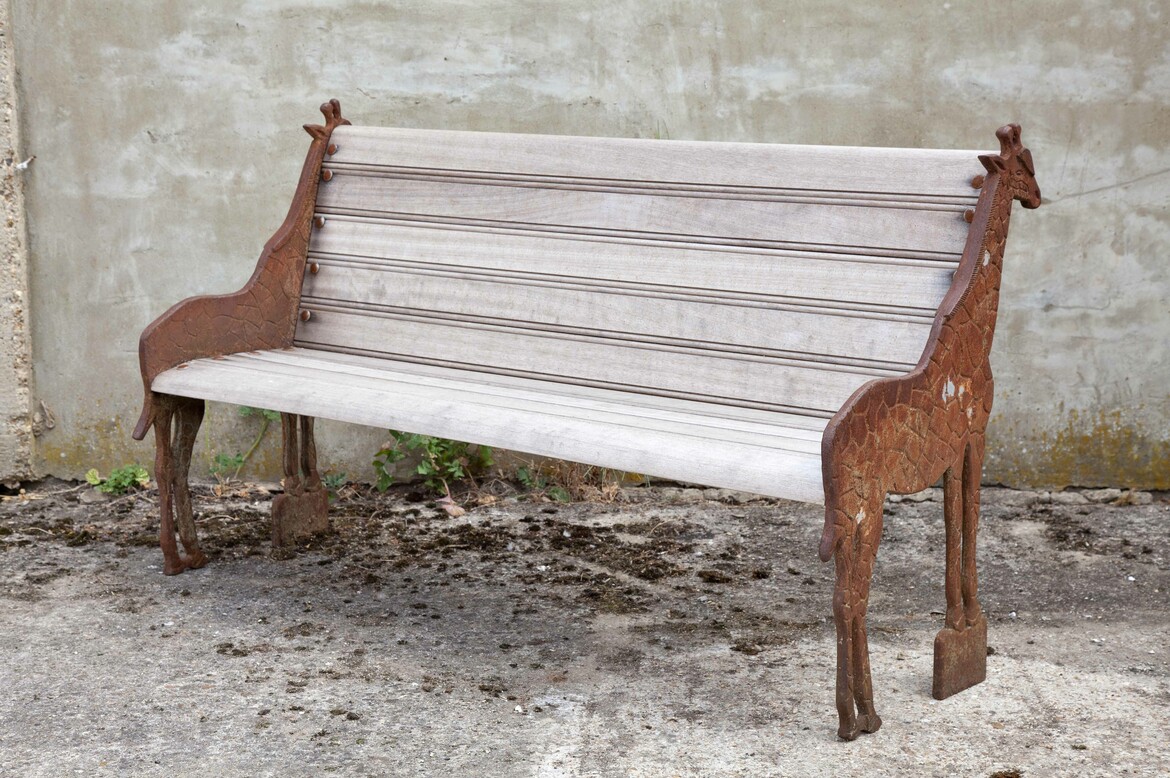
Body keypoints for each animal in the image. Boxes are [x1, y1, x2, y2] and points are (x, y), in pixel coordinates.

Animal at [817, 124, 1041, 741]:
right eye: (1025, 167)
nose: (1040, 197)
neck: (970, 339)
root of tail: (830, 444)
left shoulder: (948, 453)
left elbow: (953, 524)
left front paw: (958, 633)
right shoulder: (975, 436)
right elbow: (970, 519)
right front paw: (970, 628)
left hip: (849, 517)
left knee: (845, 599)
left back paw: (854, 717)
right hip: (865, 508)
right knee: (854, 598)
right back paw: (862, 717)